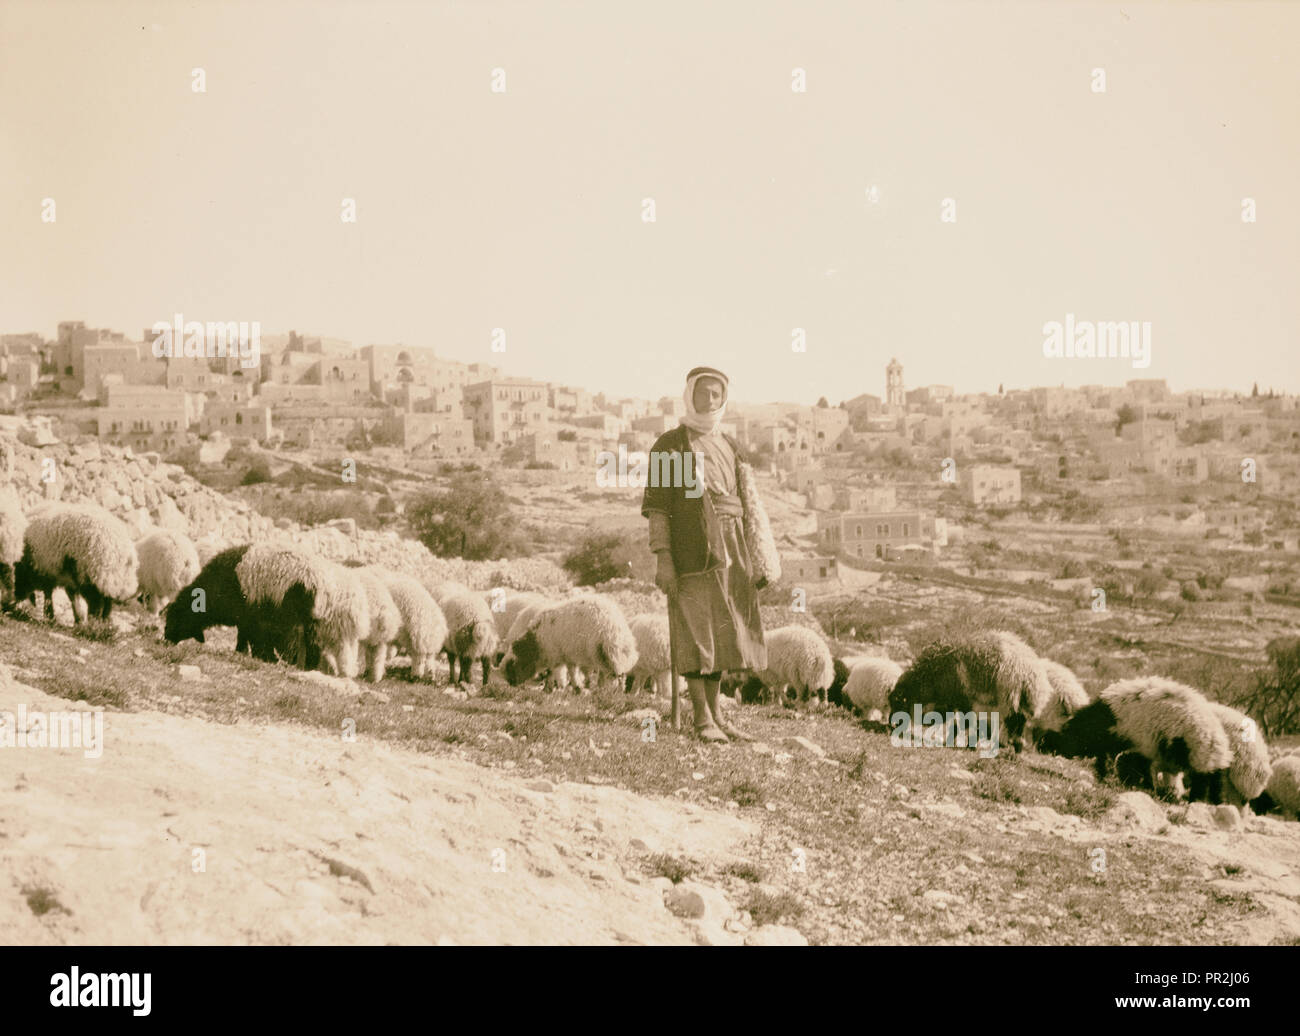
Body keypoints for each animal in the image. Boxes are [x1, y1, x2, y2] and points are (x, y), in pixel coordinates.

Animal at [499, 595, 637, 691]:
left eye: (512, 666)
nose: (512, 684)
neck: (537, 643)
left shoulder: (556, 654)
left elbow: (555, 672)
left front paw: (551, 688)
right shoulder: (567, 656)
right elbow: (569, 671)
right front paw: (575, 687)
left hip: (604, 654)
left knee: (612, 674)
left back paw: (607, 690)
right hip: (612, 656)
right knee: (619, 675)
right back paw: (613, 690)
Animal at [889, 631, 1050, 753]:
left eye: (899, 702)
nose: (892, 725)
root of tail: (1030, 673)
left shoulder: (962, 700)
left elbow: (964, 722)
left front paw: (967, 744)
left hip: (1009, 697)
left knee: (1014, 721)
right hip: (1019, 701)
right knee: (1019, 722)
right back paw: (1017, 749)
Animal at [1034, 675, 1227, 805]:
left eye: (1052, 740)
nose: (1040, 748)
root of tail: (1217, 741)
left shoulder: (1132, 741)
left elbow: (1114, 761)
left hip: (1196, 755)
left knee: (1201, 783)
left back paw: (1195, 800)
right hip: (1208, 764)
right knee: (1215, 785)